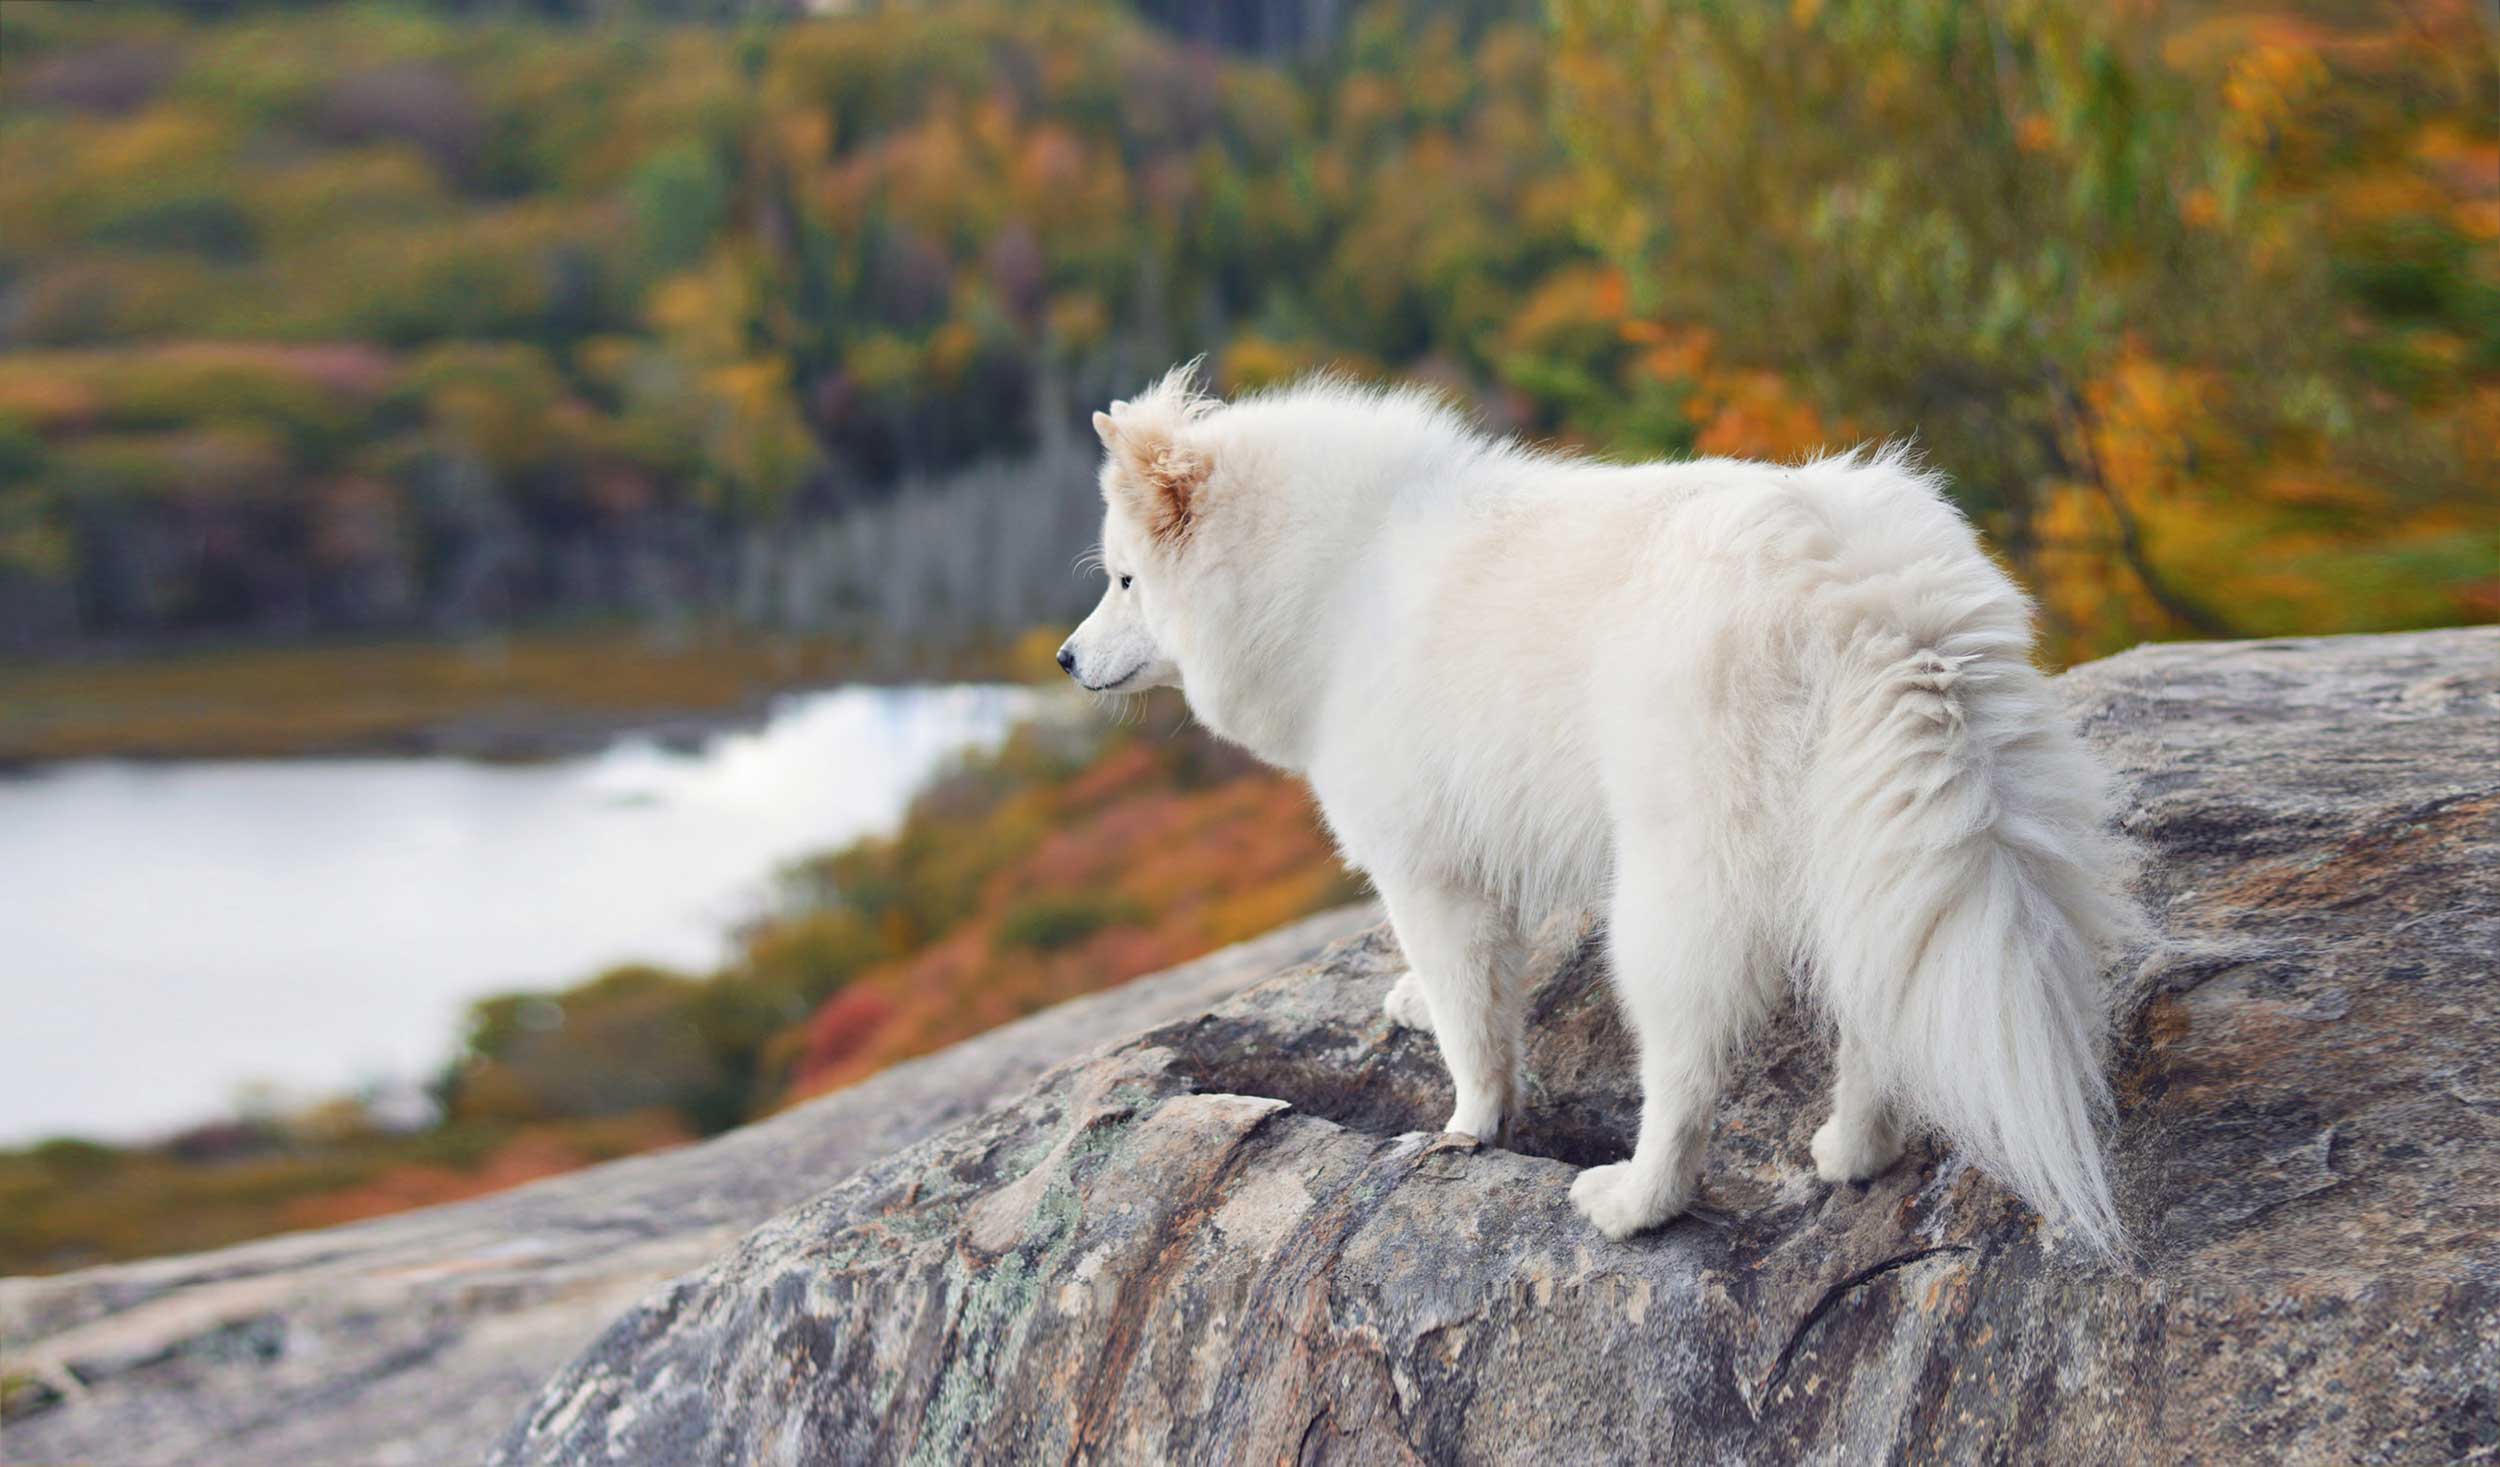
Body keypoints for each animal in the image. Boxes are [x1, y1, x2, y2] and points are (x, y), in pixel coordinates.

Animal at [1065, 367, 2140, 1249]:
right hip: (1870, 847)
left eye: (1125, 579)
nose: (1068, 660)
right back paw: (1853, 1149)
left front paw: (1465, 1128)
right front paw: (1414, 1006)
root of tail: (1865, 593)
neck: (1336, 579)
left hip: (1672, 893)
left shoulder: (1428, 870)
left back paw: (1635, 1200)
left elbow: (1474, 1023)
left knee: (1688, 1066)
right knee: (1877, 1000)